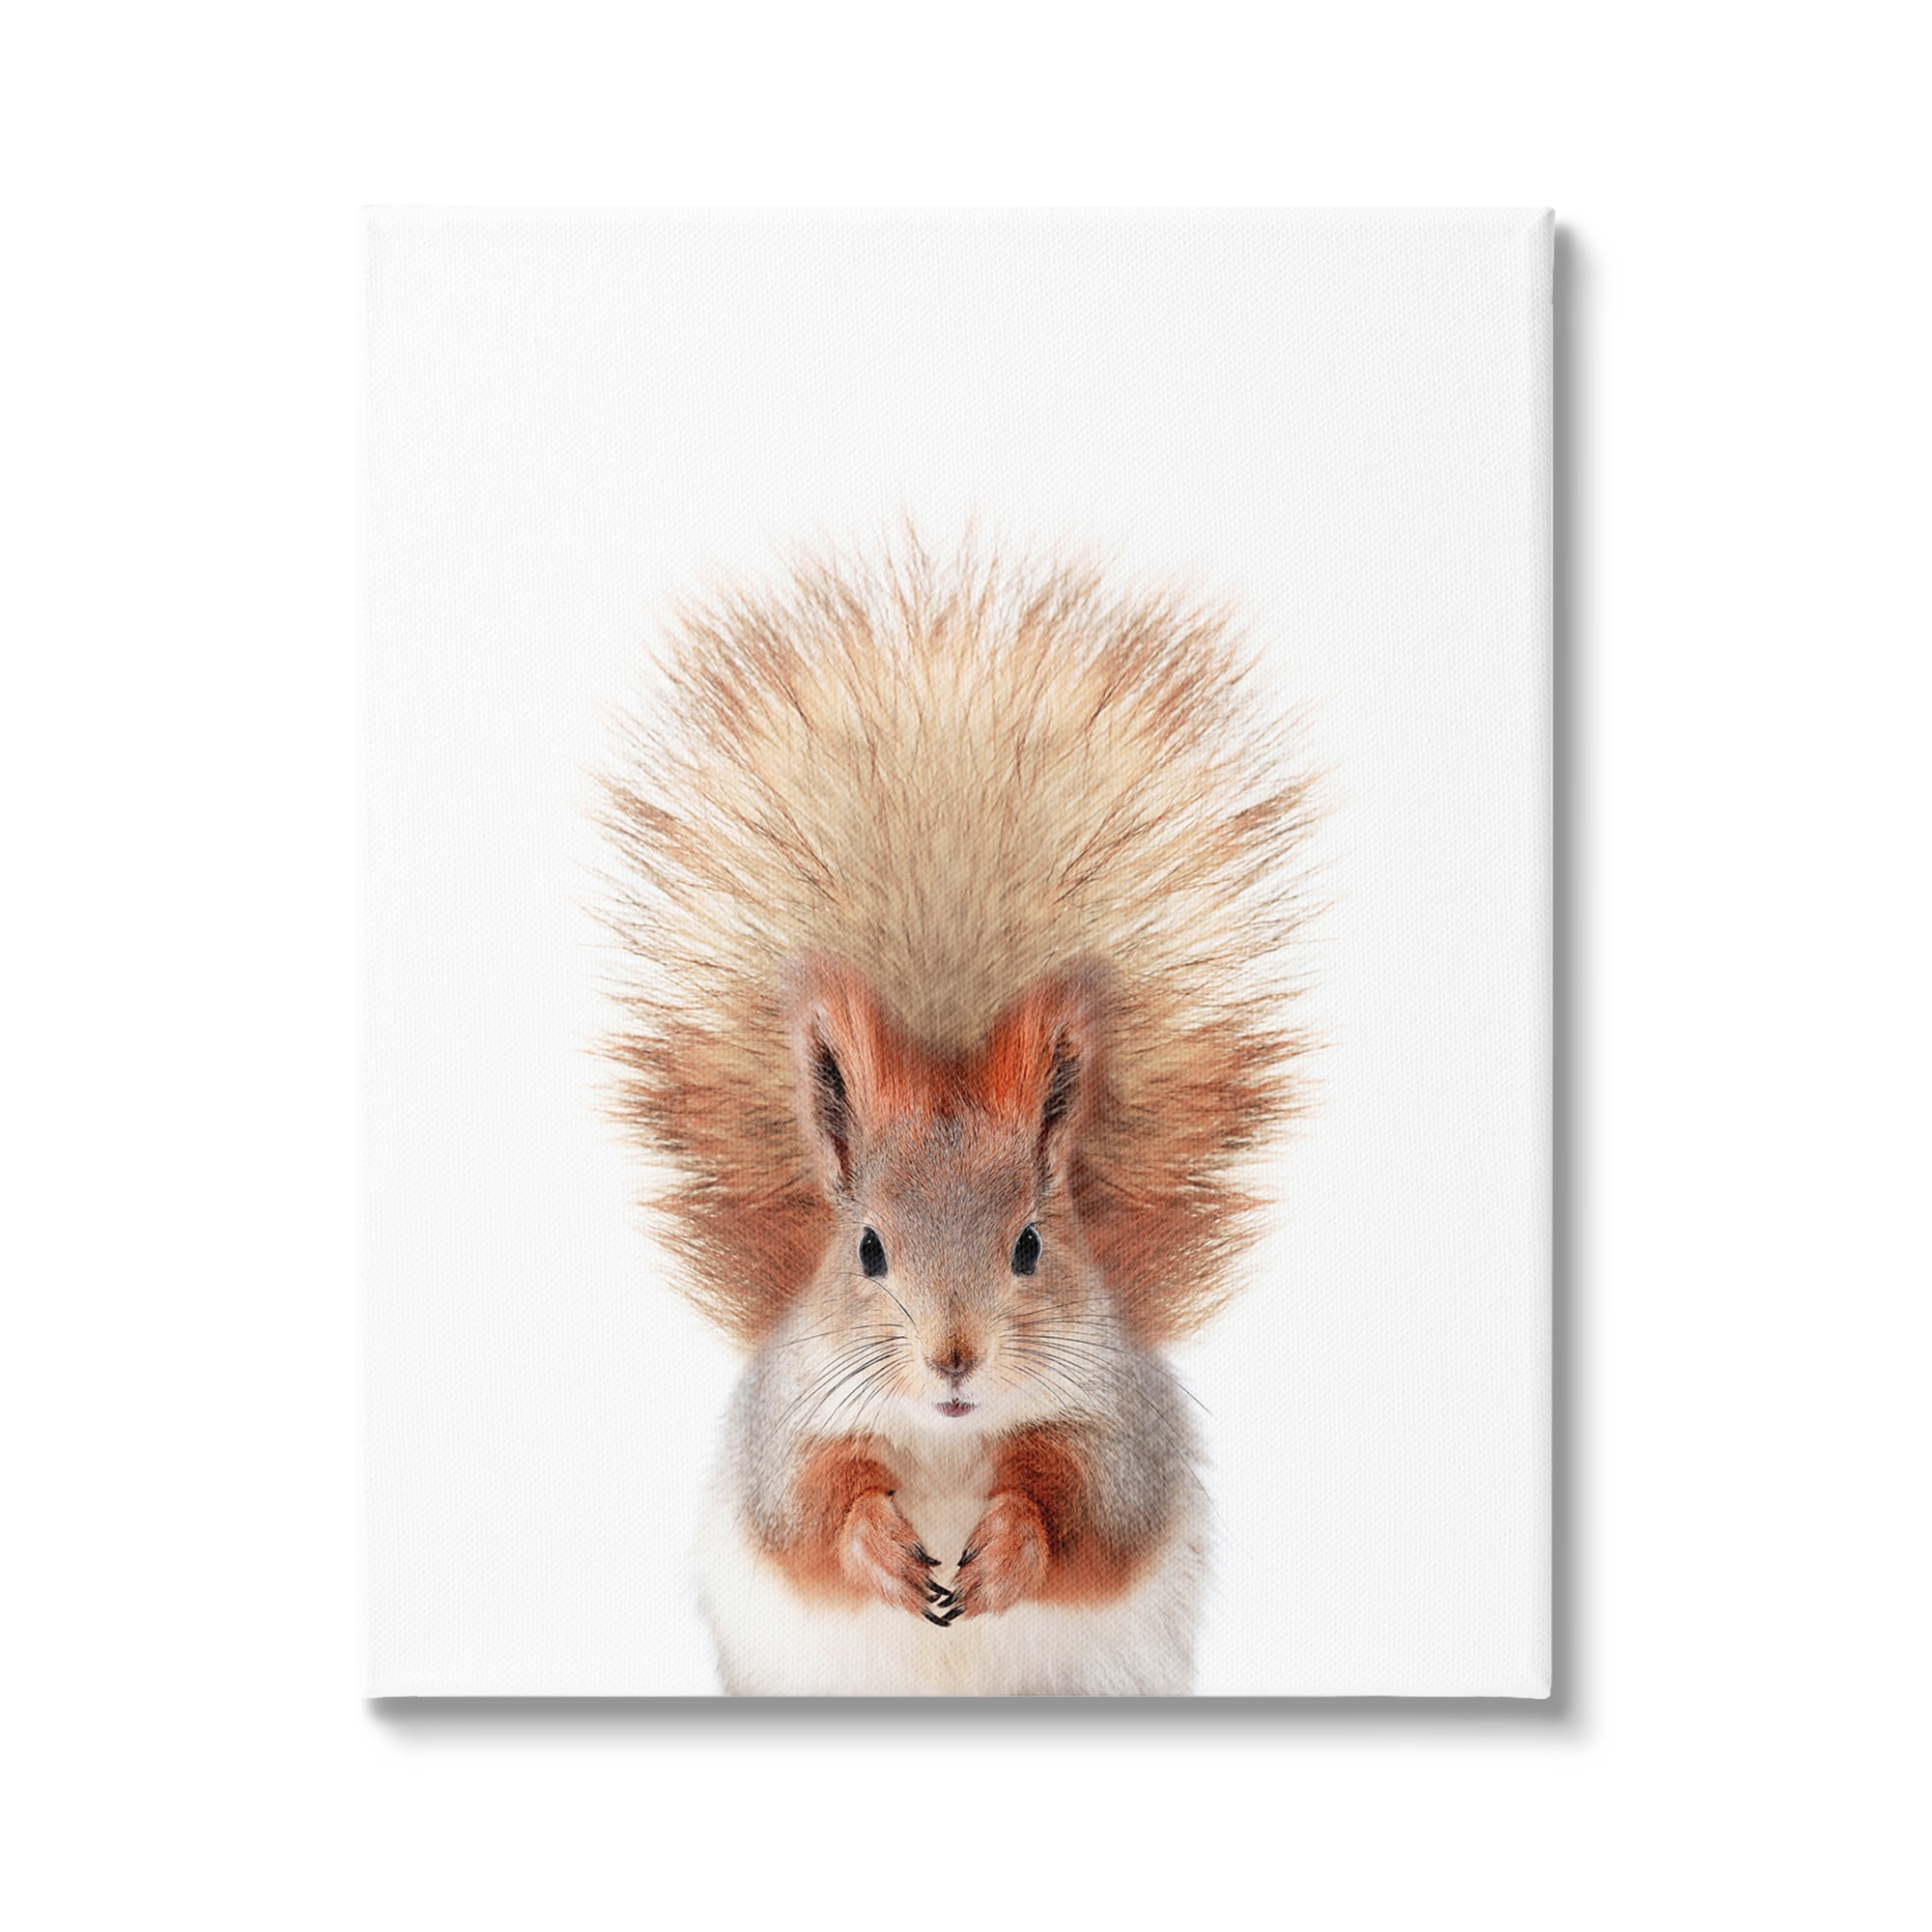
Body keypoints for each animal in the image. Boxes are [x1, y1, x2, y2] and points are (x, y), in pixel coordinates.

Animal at [597, 536, 1317, 1694]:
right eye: (866, 1248)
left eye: (1030, 1244)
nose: (953, 1357)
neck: (943, 1438)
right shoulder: (785, 1428)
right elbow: (805, 1513)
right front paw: (877, 1545)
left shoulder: (1120, 1430)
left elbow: (1089, 1513)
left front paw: (1012, 1542)